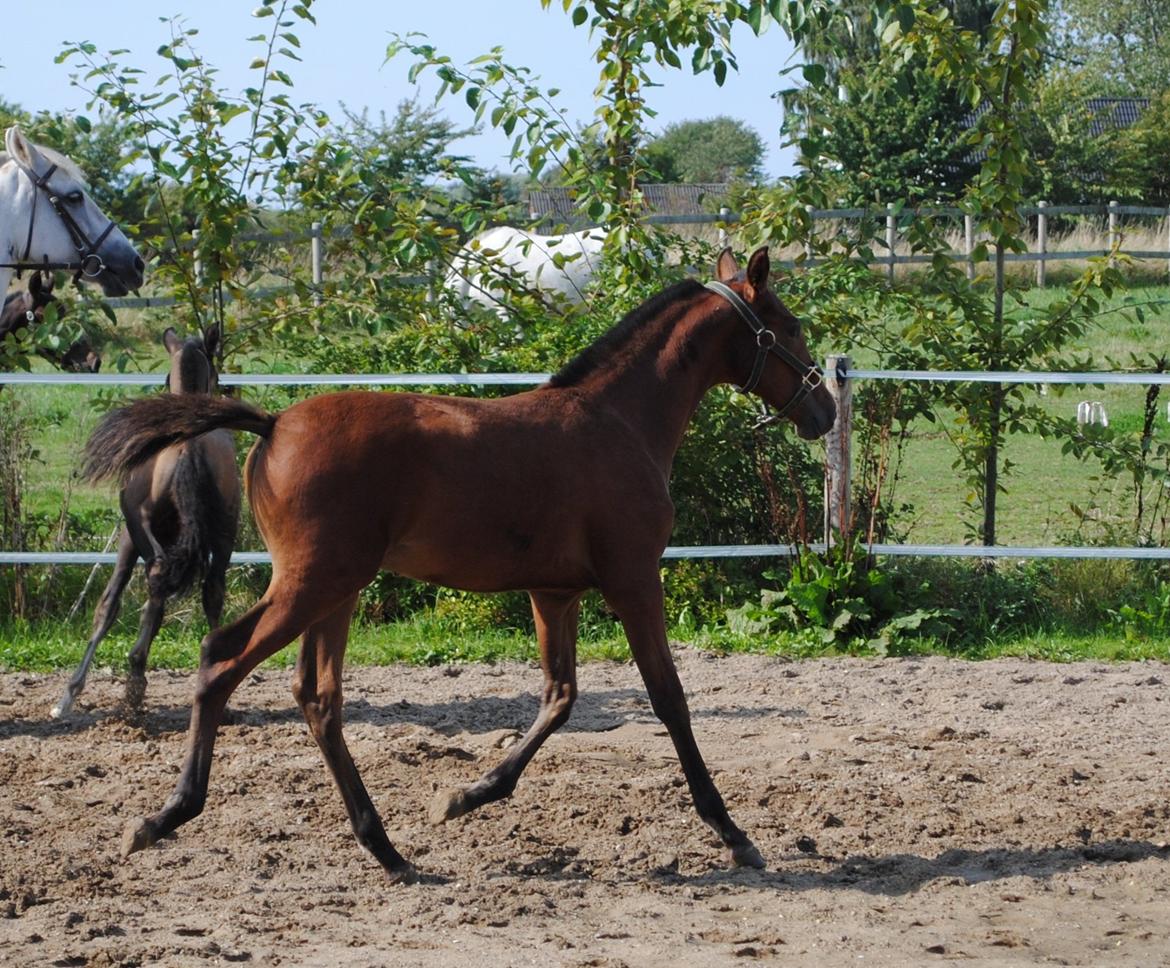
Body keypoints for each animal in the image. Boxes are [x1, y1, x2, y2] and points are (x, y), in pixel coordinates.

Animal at [51, 327, 238, 721]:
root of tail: (188, 445)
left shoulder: (128, 538)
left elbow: (108, 606)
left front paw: (70, 693)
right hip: (223, 534)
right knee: (211, 590)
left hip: (146, 532)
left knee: (162, 580)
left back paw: (135, 679)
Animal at [82, 248, 837, 880]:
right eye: (790, 327)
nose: (825, 410)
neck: (619, 421)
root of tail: (273, 424)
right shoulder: (633, 579)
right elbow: (669, 698)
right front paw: (735, 835)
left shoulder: (553, 592)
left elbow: (560, 696)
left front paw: (466, 796)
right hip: (313, 583)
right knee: (221, 659)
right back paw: (164, 817)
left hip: (336, 590)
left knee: (318, 698)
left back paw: (387, 851)